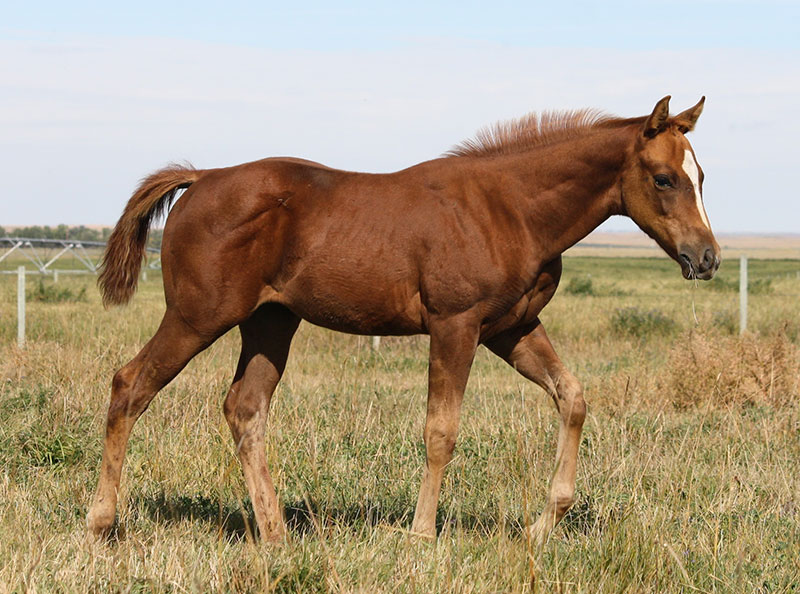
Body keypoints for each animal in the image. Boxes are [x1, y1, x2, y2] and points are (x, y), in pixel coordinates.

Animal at [86, 95, 720, 544]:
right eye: (664, 179)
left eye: (703, 177)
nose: (707, 257)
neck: (509, 208)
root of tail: (202, 178)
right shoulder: (455, 325)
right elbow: (440, 431)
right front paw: (420, 535)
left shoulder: (511, 329)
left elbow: (573, 398)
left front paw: (544, 524)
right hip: (197, 316)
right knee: (129, 385)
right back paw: (101, 522)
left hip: (270, 322)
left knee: (245, 408)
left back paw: (276, 534)